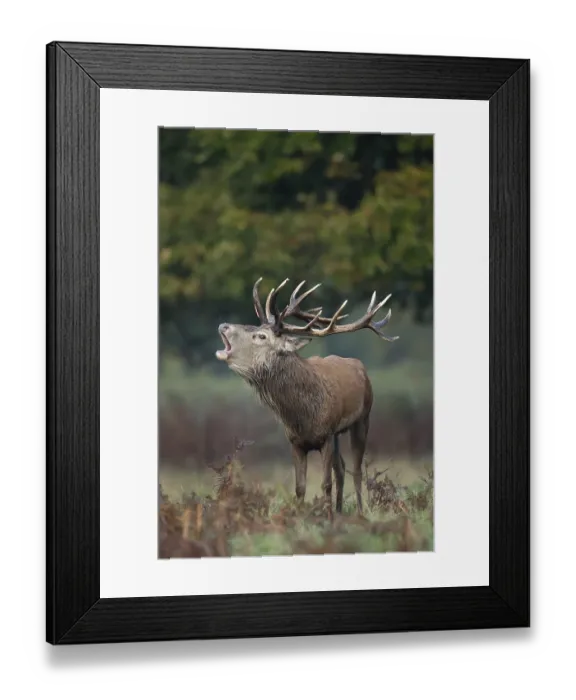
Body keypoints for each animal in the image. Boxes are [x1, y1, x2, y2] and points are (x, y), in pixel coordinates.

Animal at [215, 278, 399, 518]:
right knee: (341, 468)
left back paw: (359, 512)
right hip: (337, 433)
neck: (302, 416)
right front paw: (301, 518)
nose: (223, 325)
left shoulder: (326, 436)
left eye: (261, 336)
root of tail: (360, 366)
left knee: (356, 470)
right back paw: (340, 511)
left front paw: (327, 518)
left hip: (362, 418)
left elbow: (325, 483)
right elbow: (300, 487)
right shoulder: (296, 441)